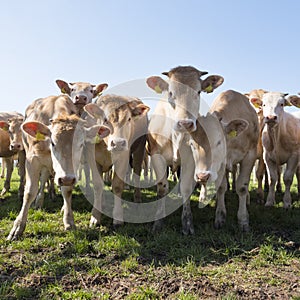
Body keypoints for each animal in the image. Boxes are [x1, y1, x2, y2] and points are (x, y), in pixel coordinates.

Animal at [7, 96, 109, 241]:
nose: (66, 179)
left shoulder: (69, 173)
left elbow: (67, 191)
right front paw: (18, 226)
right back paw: (38, 202)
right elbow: (29, 192)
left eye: (81, 144)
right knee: (40, 179)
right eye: (53, 142)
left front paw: (68, 220)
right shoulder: (32, 160)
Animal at [84, 95, 149, 226]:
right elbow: (98, 185)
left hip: (140, 148)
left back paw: (137, 198)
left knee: (137, 172)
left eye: (129, 119)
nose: (118, 143)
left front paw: (118, 217)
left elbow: (118, 186)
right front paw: (95, 215)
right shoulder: (92, 158)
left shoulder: (123, 157)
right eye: (105, 120)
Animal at [145, 65, 223, 234]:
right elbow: (162, 189)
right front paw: (158, 222)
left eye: (198, 91)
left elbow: (187, 188)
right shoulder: (156, 156)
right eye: (170, 93)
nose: (185, 123)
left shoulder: (191, 159)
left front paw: (187, 223)